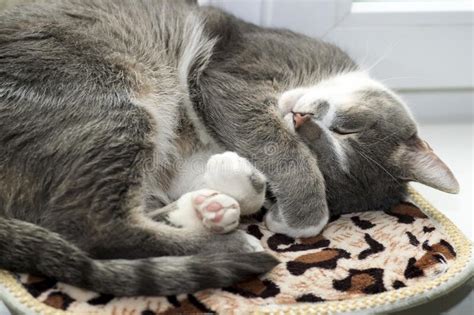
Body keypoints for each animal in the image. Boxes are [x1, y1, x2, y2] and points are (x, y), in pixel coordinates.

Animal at [0, 0, 460, 298]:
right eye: (346, 129)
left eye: (338, 139)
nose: (300, 120)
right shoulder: (227, 77)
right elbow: (269, 141)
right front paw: (298, 216)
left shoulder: (190, 155)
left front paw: (234, 189)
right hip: (114, 98)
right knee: (88, 224)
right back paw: (235, 243)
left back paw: (209, 214)